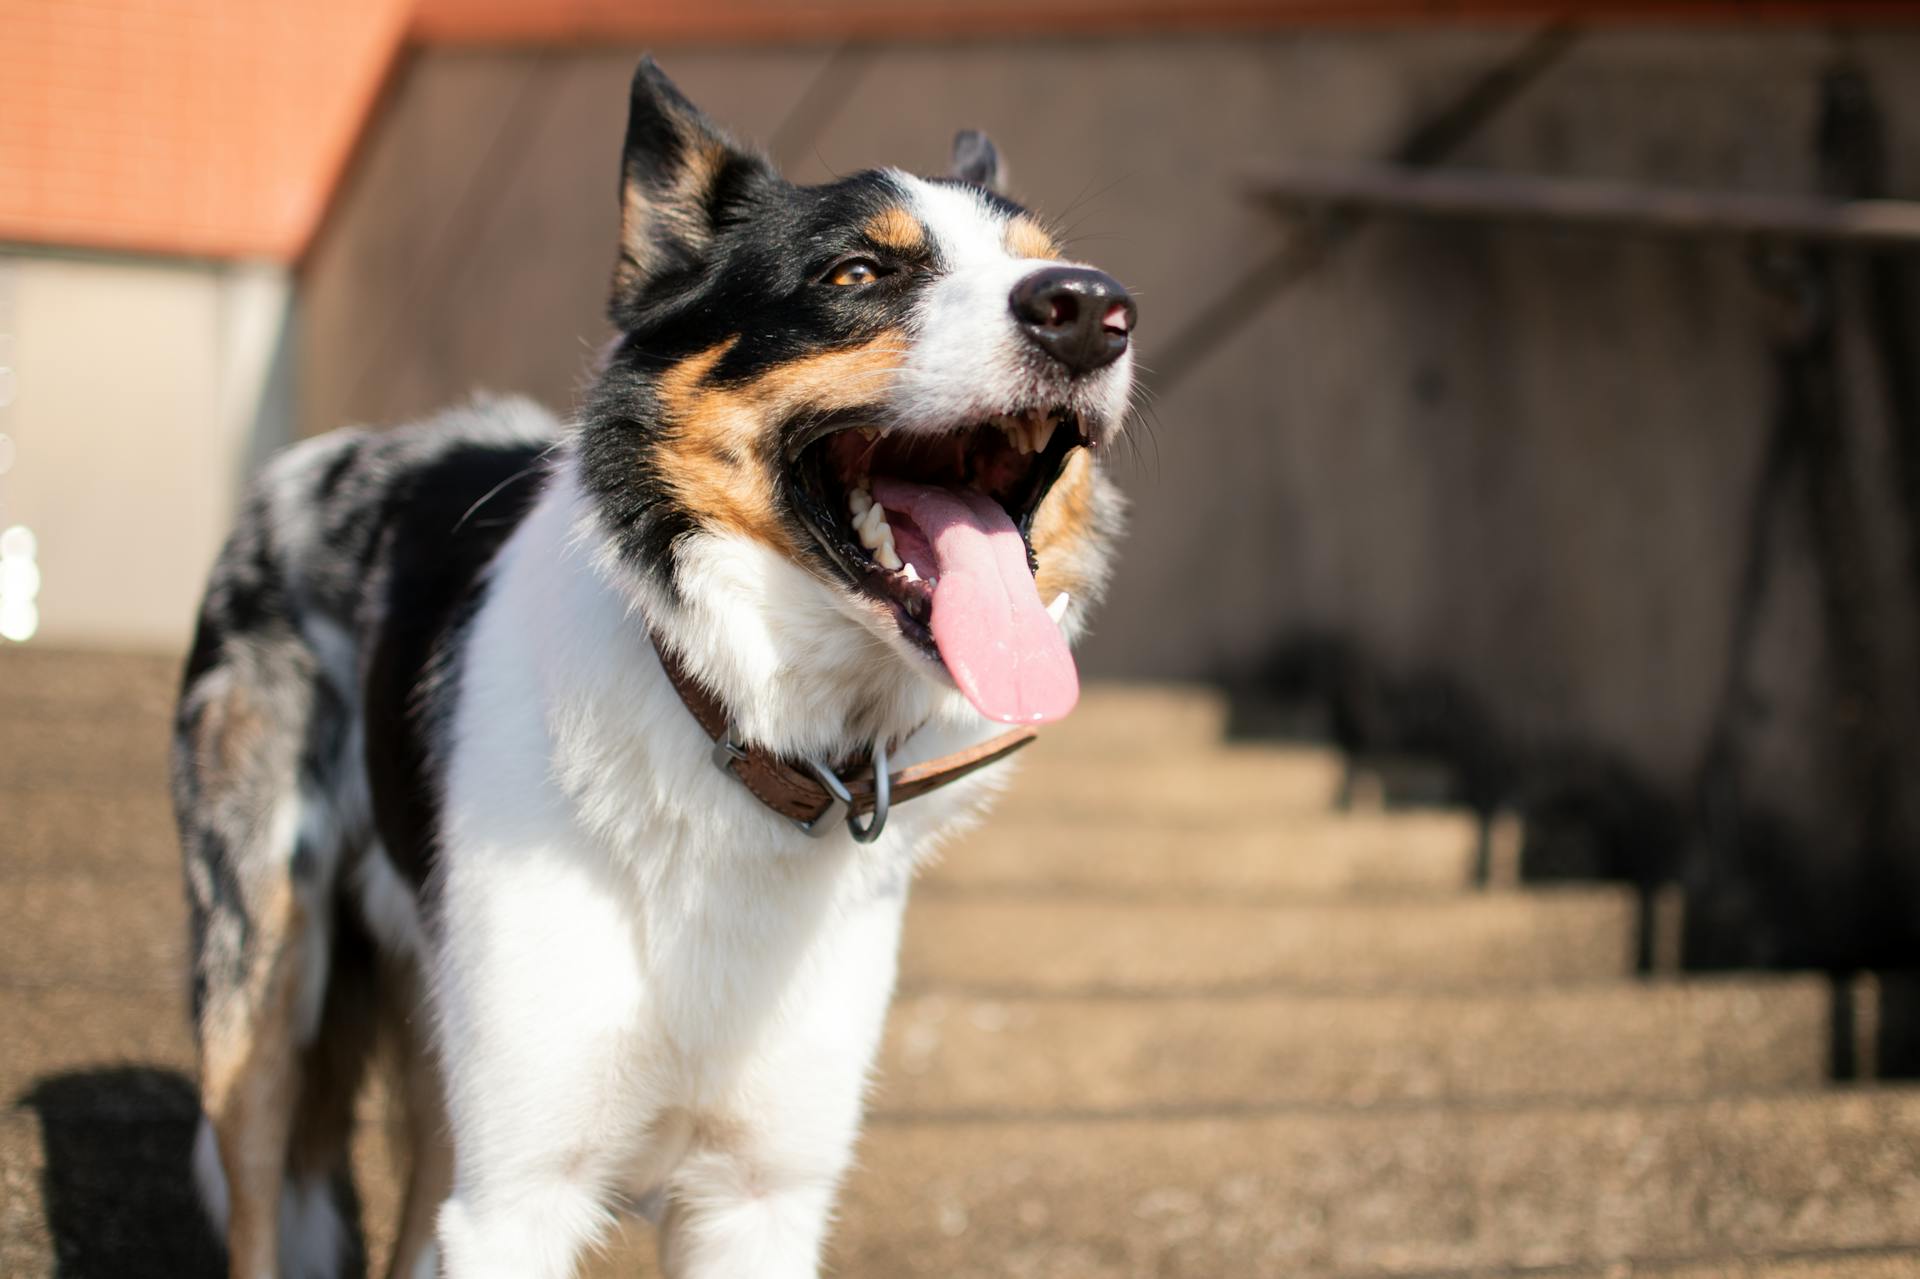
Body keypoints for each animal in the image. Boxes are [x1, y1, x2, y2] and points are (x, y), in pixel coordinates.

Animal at [172, 57, 1128, 1275]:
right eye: (858, 272)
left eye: (1042, 258)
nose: (1093, 309)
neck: (744, 728)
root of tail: (319, 456)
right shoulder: (519, 1196)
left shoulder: (761, 1199)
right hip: (259, 979)